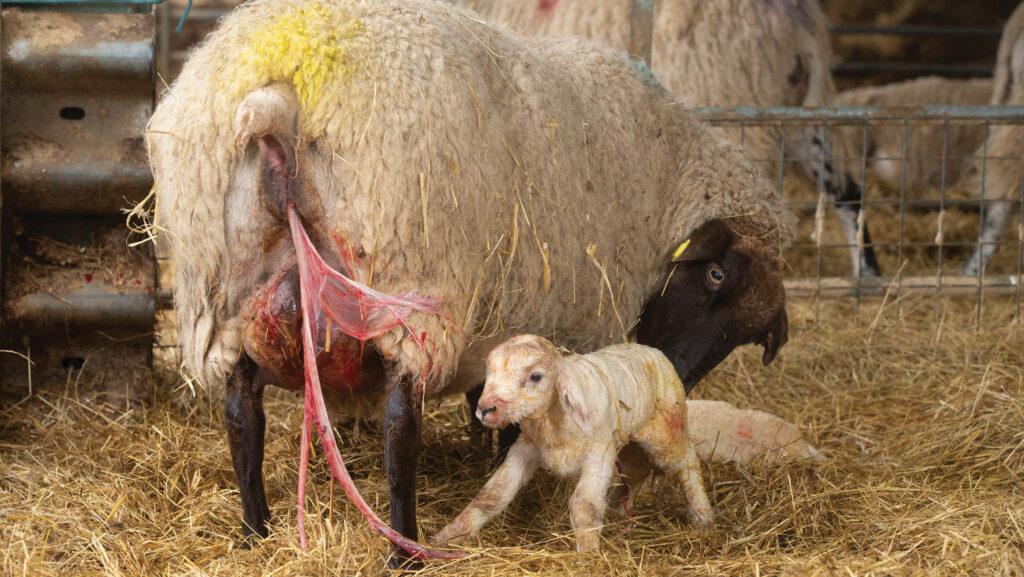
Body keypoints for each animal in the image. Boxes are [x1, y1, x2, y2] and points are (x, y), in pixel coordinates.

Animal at [433, 335, 823, 551]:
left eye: (536, 376)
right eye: (489, 372)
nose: (485, 408)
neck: (552, 425)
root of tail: (650, 349)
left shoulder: (599, 454)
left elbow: (584, 506)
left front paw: (588, 554)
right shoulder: (525, 449)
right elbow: (492, 496)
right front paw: (448, 536)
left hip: (665, 433)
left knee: (687, 464)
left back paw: (703, 518)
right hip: (631, 443)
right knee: (635, 474)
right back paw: (622, 512)